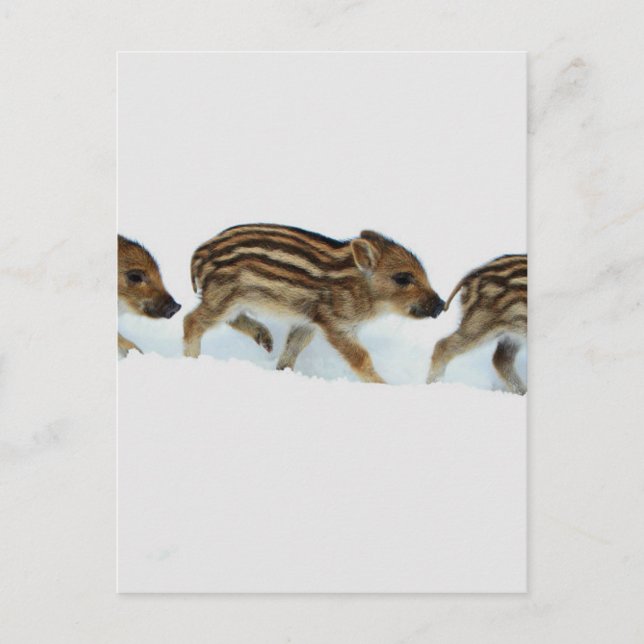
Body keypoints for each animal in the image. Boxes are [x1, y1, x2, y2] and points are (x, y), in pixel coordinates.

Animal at [184, 224, 444, 383]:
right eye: (402, 278)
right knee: (192, 321)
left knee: (229, 320)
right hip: (223, 295)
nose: (441, 305)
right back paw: (191, 361)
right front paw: (386, 385)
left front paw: (282, 373)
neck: (360, 287)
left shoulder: (307, 321)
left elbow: (292, 349)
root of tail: (199, 254)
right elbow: (361, 358)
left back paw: (266, 340)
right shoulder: (336, 324)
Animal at [427, 253, 527, 394]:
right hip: (480, 324)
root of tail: (471, 277)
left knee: (501, 359)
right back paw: (433, 384)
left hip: (512, 332)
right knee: (443, 345)